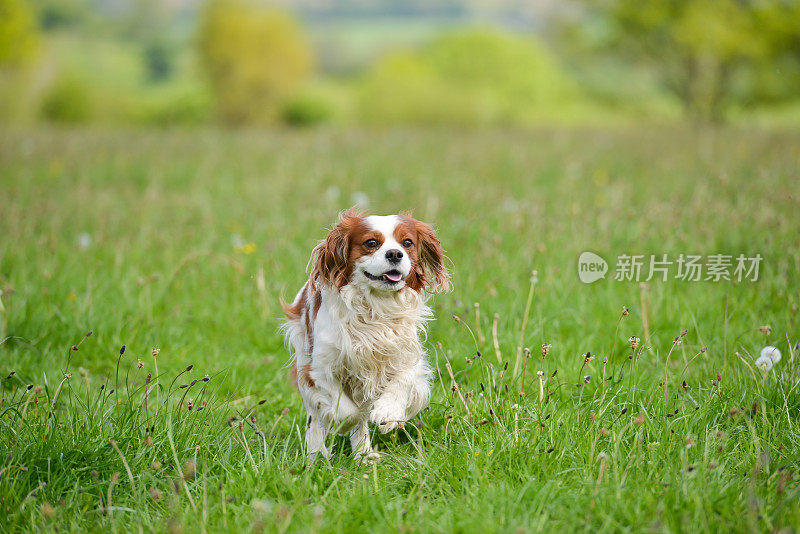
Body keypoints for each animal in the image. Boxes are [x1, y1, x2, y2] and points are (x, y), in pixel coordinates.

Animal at [282, 211, 450, 462]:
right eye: (371, 243)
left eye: (407, 243)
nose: (395, 254)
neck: (376, 309)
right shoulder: (318, 369)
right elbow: (346, 411)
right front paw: (342, 425)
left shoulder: (407, 355)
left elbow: (403, 379)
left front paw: (387, 412)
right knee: (317, 419)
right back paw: (315, 456)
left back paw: (364, 456)